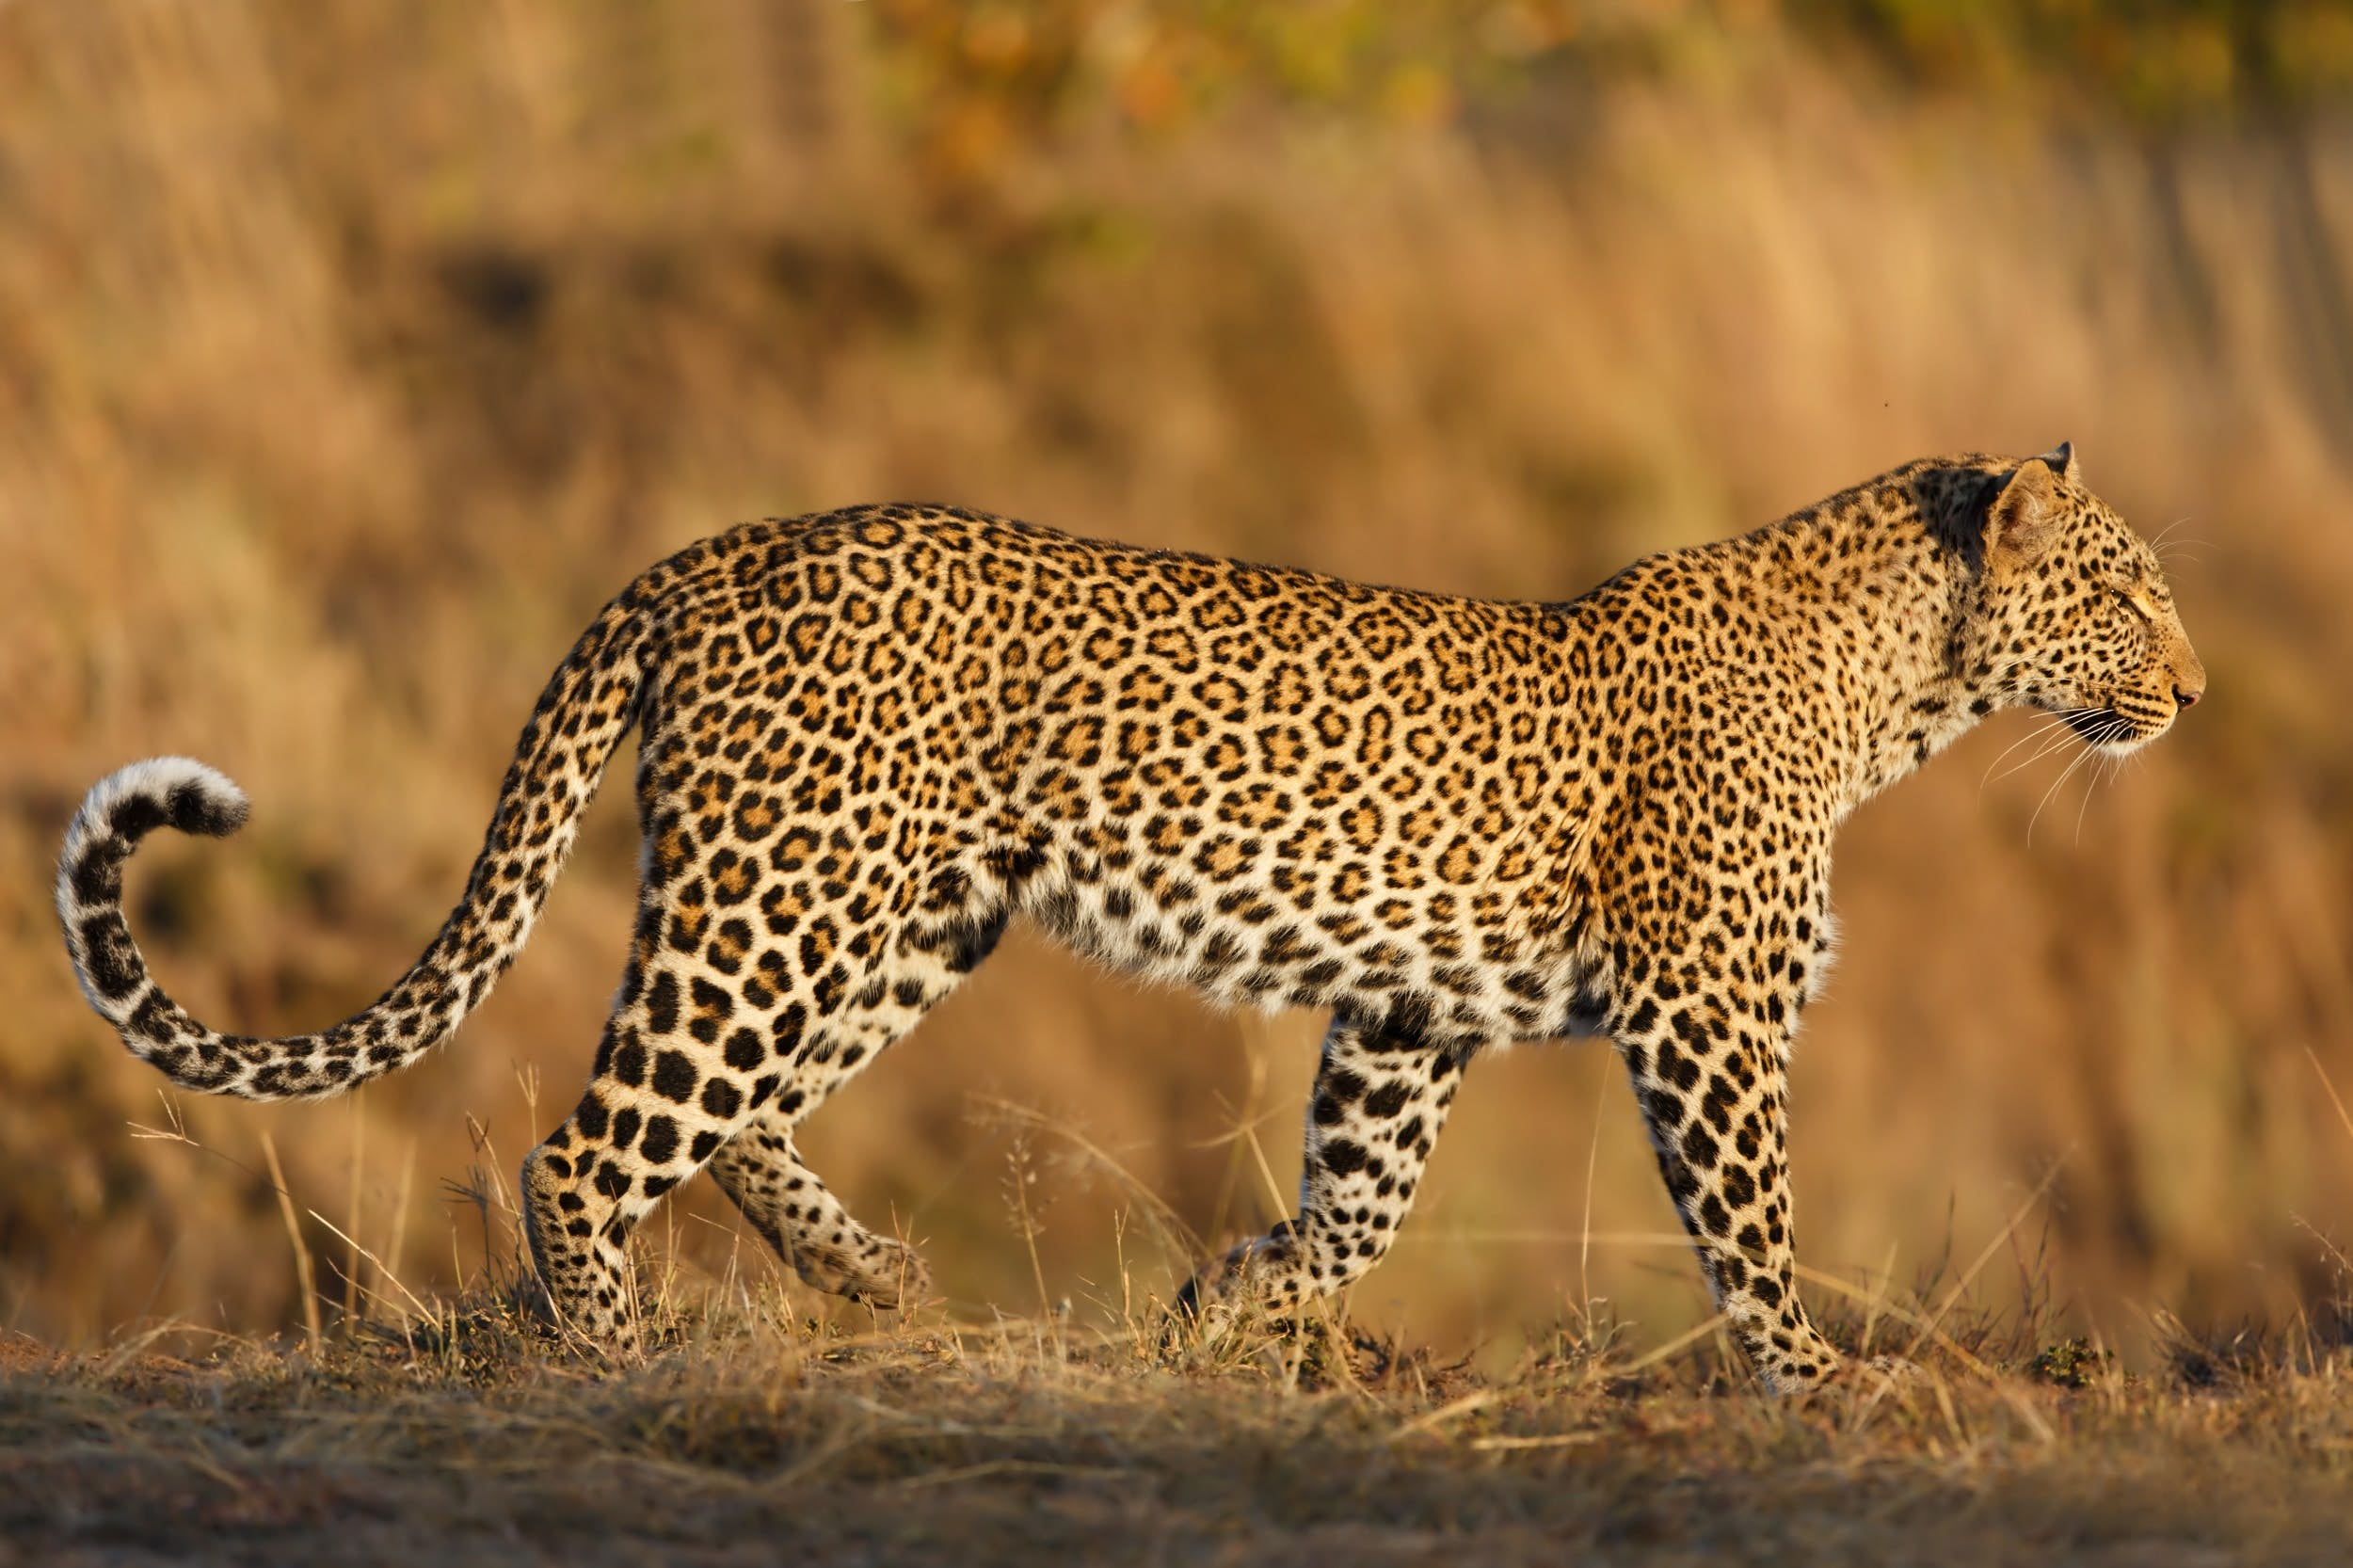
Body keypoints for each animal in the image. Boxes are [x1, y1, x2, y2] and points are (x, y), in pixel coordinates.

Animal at [55, 442, 2193, 1393]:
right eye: (2121, 592)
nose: (2186, 691)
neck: (1899, 698)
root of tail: (727, 543)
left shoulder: (1404, 1010)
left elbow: (1359, 1200)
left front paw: (1226, 1308)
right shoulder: (1703, 1020)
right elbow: (1751, 1229)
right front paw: (1822, 1397)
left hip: (904, 910)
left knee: (724, 1115)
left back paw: (873, 1281)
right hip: (793, 893)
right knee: (590, 1141)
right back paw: (614, 1350)